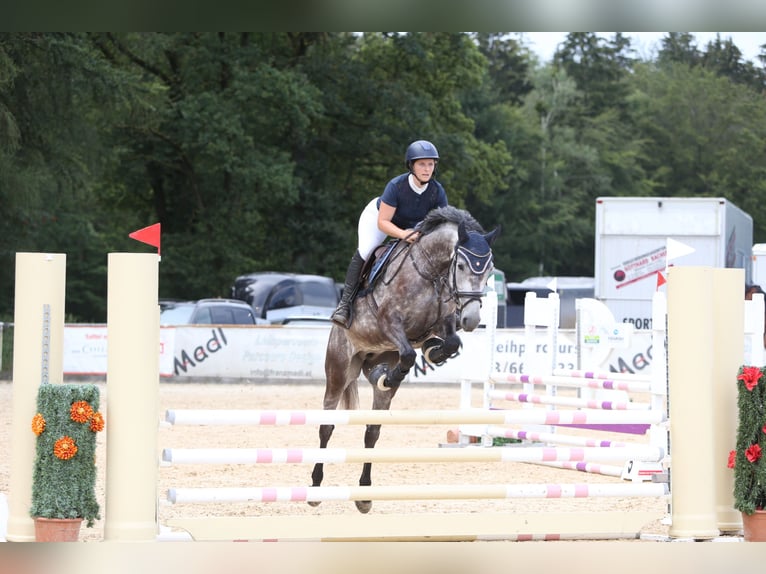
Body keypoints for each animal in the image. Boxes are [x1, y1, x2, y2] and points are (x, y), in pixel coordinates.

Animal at [308, 206, 500, 512]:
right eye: (460, 266)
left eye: (490, 270)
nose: (471, 319)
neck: (431, 272)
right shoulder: (390, 324)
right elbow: (409, 353)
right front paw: (398, 371)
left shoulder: (443, 323)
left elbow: (450, 342)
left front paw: (433, 351)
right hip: (339, 368)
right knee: (327, 426)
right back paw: (315, 488)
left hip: (380, 357)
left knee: (372, 432)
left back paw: (364, 495)